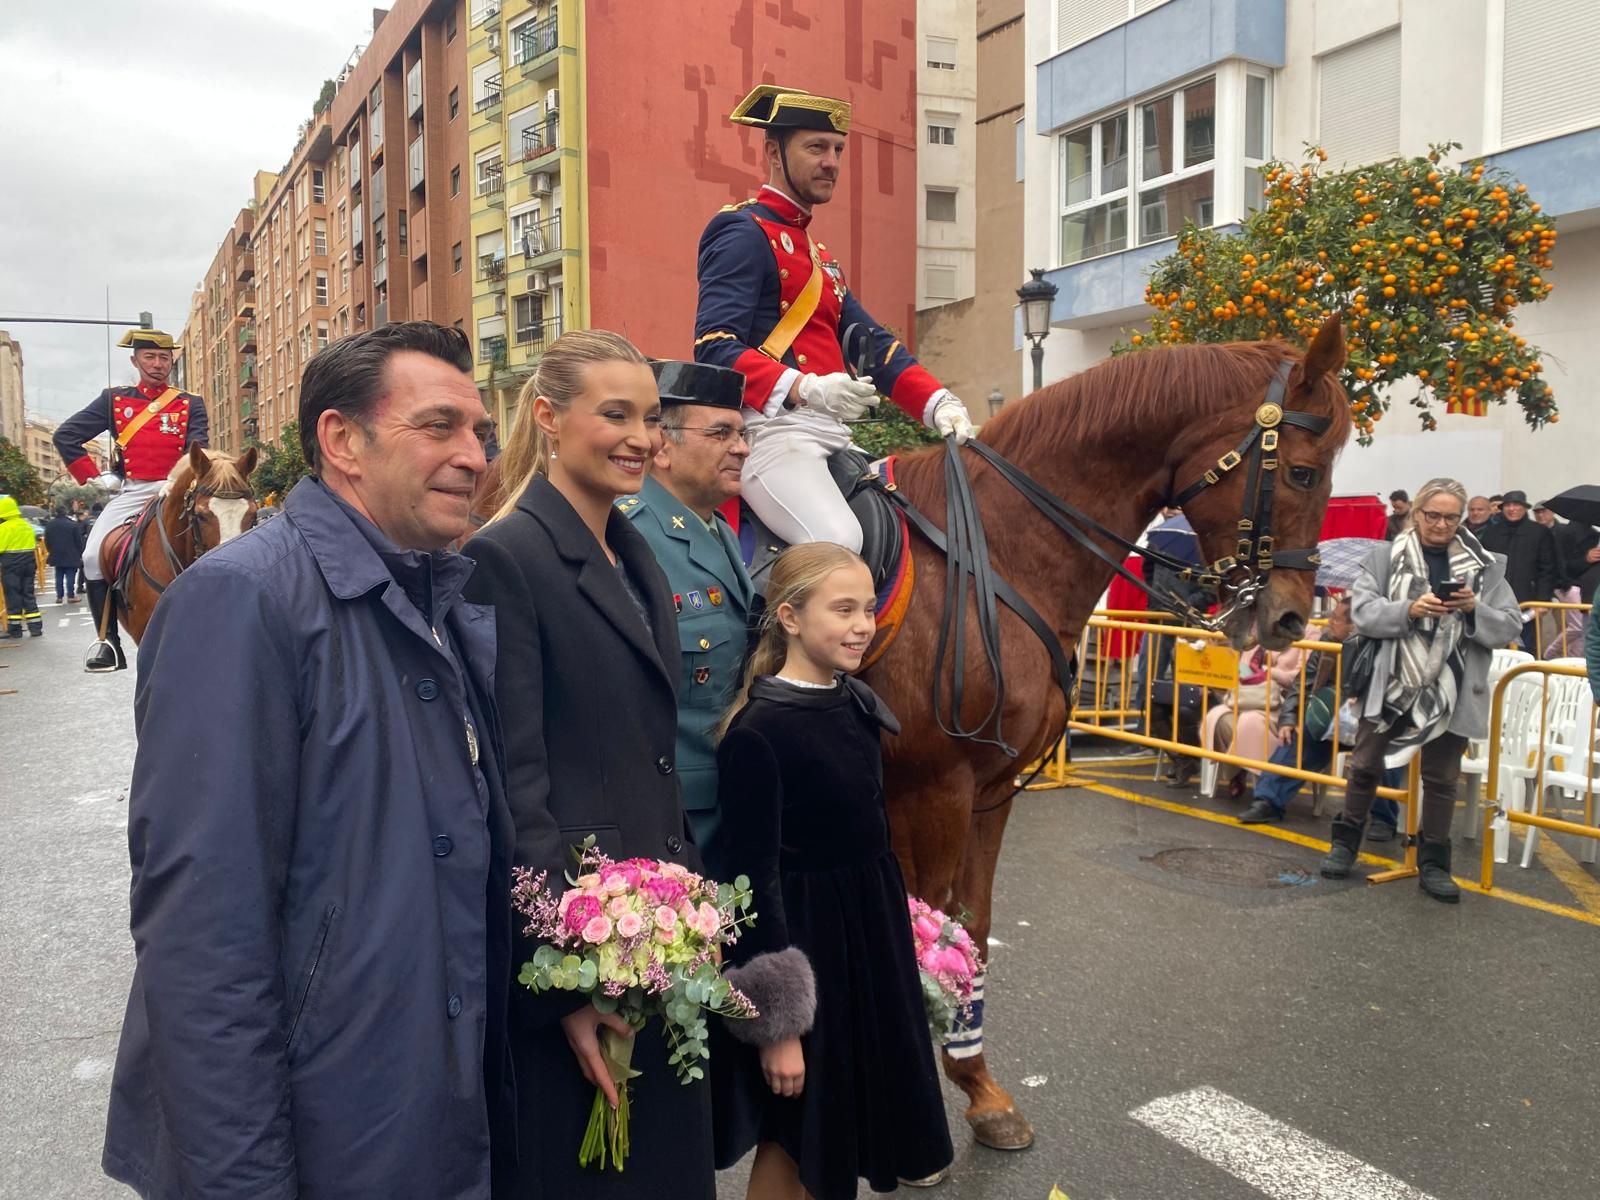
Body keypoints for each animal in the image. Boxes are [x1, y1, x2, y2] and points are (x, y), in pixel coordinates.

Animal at [864, 316, 1350, 1145]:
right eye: (1305, 473)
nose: (1290, 618)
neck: (997, 552)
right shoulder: (931, 789)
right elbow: (924, 931)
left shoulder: (986, 791)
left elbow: (969, 928)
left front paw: (980, 1087)